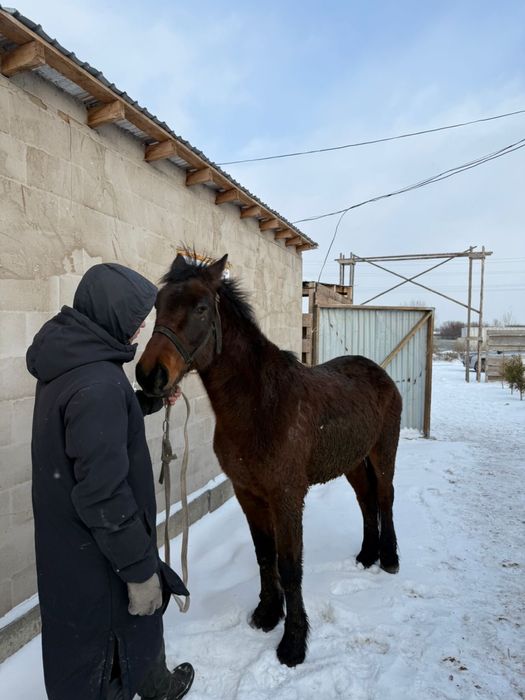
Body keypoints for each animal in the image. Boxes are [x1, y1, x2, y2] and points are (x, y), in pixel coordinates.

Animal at [136, 253, 402, 667]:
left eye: (200, 308)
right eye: (158, 304)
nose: (150, 376)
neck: (261, 404)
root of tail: (381, 374)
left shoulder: (287, 497)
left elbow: (290, 566)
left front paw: (293, 642)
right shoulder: (248, 493)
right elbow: (265, 555)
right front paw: (267, 614)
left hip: (382, 451)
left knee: (386, 498)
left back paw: (388, 558)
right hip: (353, 462)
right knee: (365, 501)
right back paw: (366, 554)